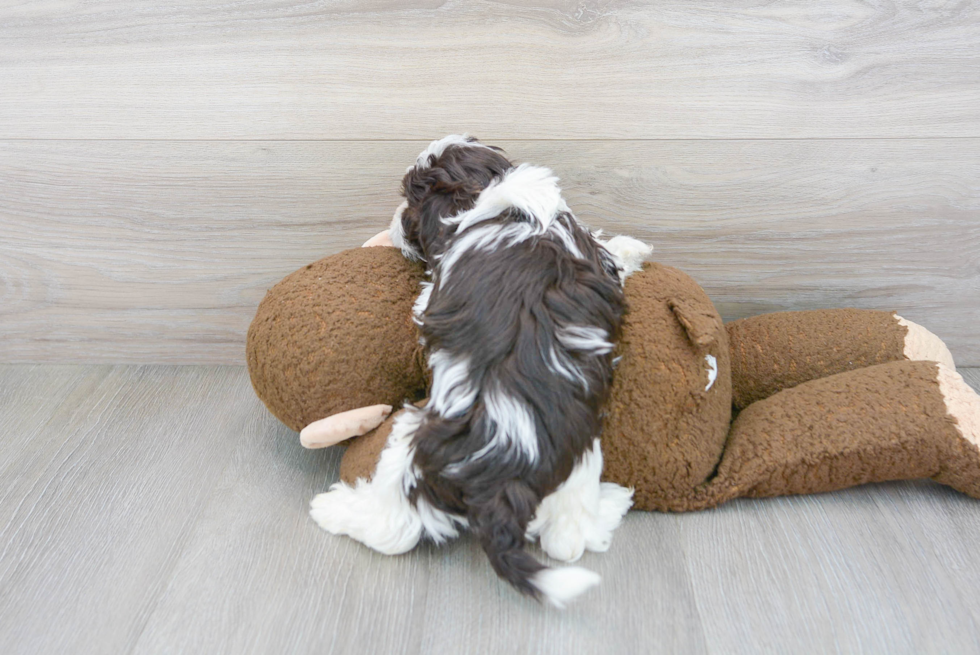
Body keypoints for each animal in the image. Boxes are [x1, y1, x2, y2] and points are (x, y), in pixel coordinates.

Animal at [314, 135, 648, 608]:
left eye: (408, 202)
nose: (394, 220)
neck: (494, 195)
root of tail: (507, 474)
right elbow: (610, 253)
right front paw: (633, 247)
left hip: (414, 442)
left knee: (394, 528)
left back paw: (334, 510)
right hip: (578, 462)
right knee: (567, 539)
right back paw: (612, 502)